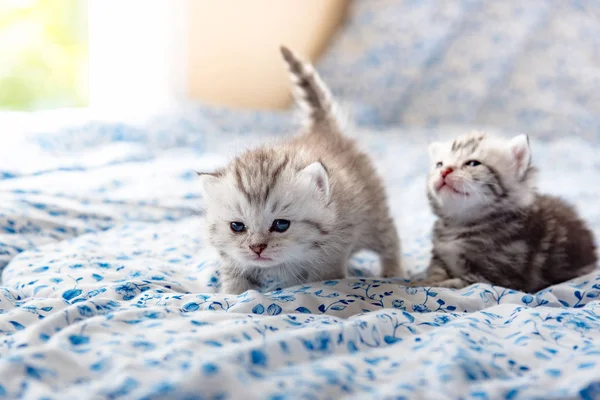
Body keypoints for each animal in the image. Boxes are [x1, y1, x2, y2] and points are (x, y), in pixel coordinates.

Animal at [198, 47, 404, 294]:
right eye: (237, 226)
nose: (257, 247)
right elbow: (237, 286)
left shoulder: (331, 256)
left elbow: (315, 284)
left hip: (374, 216)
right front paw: (232, 296)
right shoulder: (234, 262)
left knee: (390, 240)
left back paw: (394, 272)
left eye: (281, 225)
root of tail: (323, 130)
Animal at [414, 131, 596, 290]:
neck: (459, 222)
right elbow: (435, 272)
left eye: (472, 163)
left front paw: (424, 285)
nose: (444, 171)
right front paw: (423, 281)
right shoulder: (439, 257)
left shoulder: (500, 276)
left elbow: (457, 283)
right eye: (439, 164)